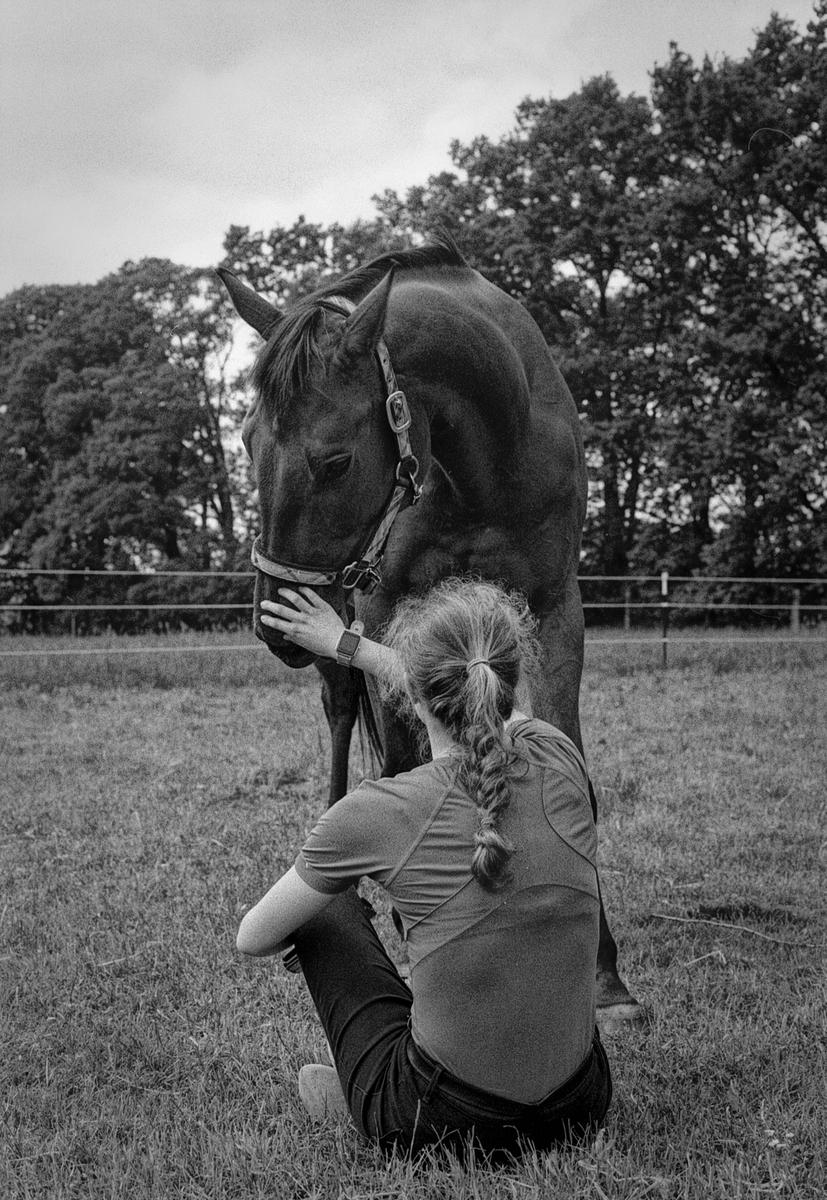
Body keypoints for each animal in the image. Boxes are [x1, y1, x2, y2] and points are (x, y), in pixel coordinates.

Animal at [218, 234, 642, 1025]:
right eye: (248, 440)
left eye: (335, 460)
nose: (272, 615)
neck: (485, 455)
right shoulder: (385, 607)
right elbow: (396, 769)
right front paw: (408, 934)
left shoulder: (556, 607)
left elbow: (574, 762)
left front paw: (605, 977)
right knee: (342, 718)